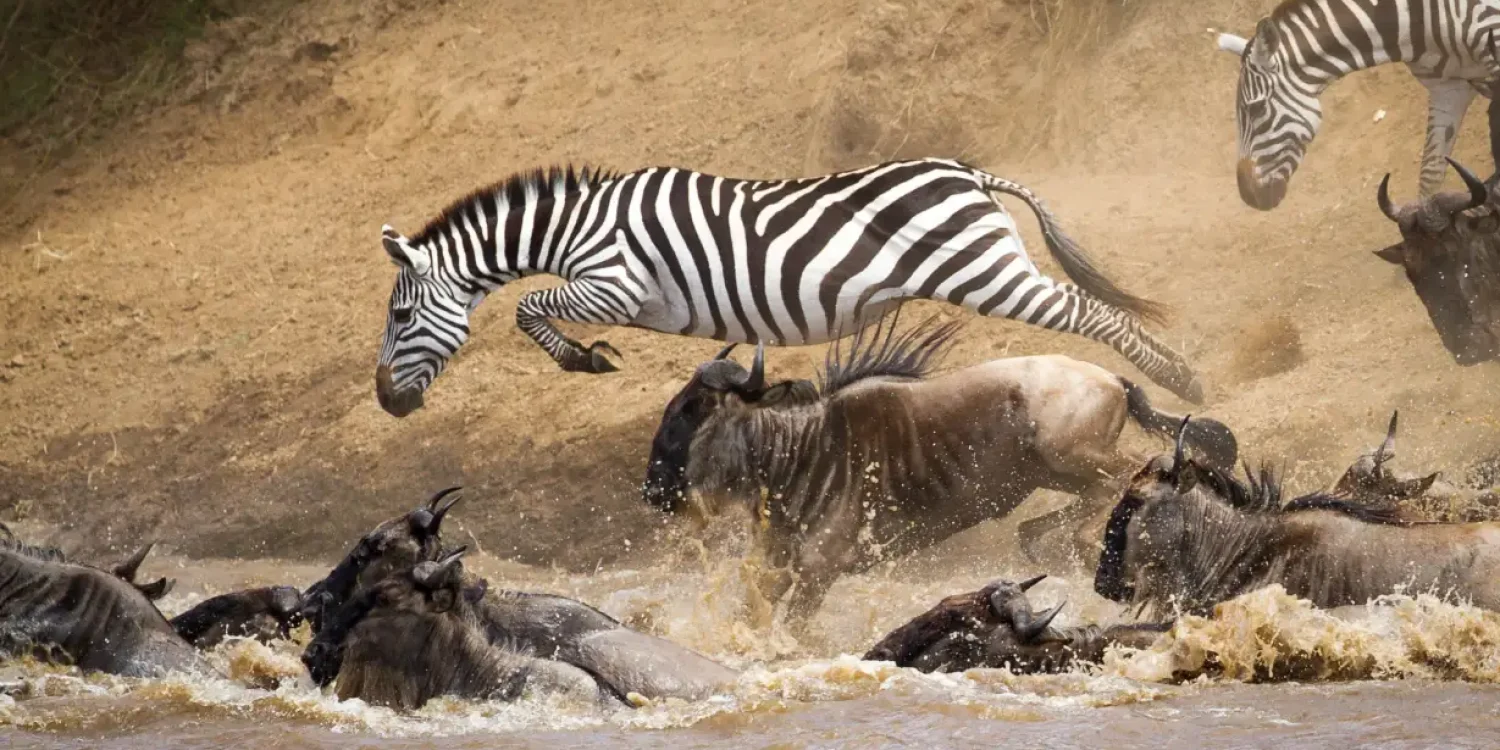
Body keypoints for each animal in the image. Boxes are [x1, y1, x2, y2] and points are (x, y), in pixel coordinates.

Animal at [374, 158, 1204, 418]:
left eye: (403, 314)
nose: (386, 401)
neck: (579, 224)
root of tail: (968, 173)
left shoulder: (617, 284)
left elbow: (528, 304)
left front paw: (583, 358)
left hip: (985, 272)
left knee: (1090, 313)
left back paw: (1184, 380)